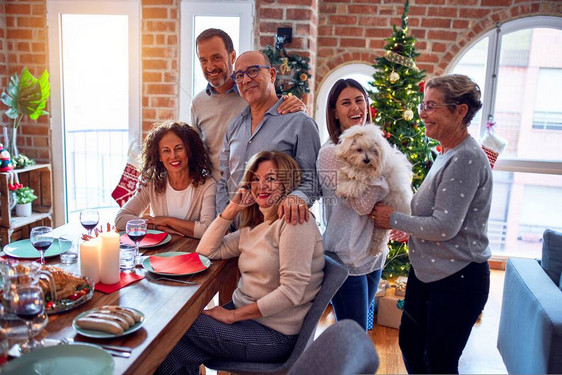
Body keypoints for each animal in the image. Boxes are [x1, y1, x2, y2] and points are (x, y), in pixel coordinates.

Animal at [332, 125, 412, 258]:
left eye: (372, 150)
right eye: (359, 149)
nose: (367, 160)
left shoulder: (372, 176)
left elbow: (358, 181)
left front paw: (344, 188)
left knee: (381, 236)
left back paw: (376, 250)